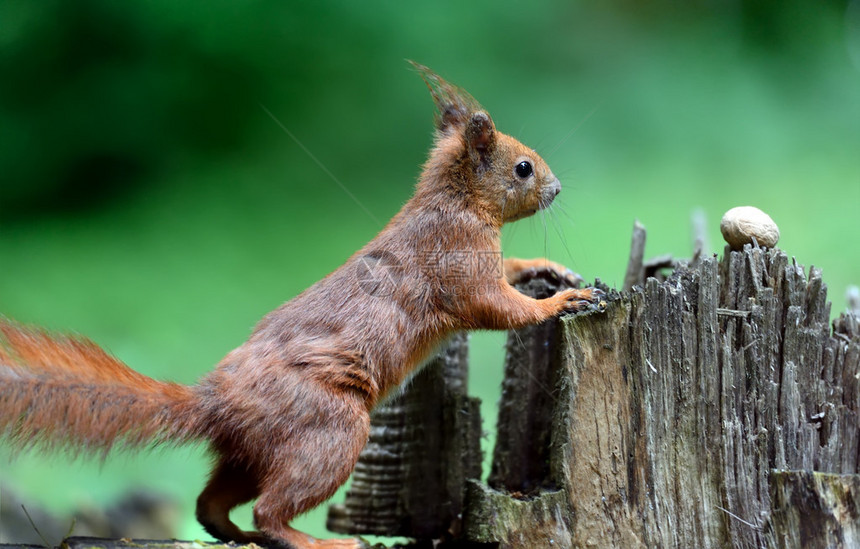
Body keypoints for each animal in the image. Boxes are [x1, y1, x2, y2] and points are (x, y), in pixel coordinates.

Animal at [0, 65, 604, 548]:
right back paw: (319, 543)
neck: (455, 201)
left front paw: (550, 270)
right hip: (329, 432)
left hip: (251, 454)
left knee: (212, 504)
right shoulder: (459, 267)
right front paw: (566, 299)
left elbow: (512, 273)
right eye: (523, 167)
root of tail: (216, 403)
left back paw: (235, 534)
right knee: (270, 511)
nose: (556, 188)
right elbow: (500, 309)